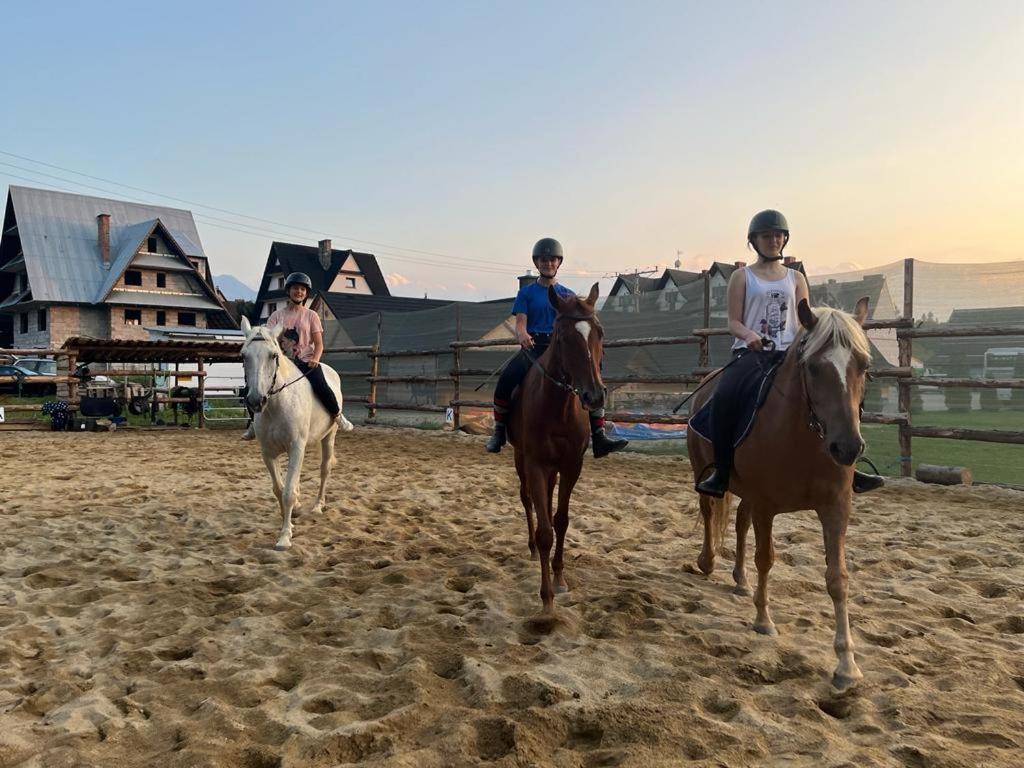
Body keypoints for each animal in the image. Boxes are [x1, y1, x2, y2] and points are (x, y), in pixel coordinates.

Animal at [240, 315, 356, 548]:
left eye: (273, 355)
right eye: (243, 356)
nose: (256, 400)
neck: (277, 404)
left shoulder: (296, 448)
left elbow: (288, 492)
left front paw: (285, 536)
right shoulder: (268, 453)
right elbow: (279, 489)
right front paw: (292, 516)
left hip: (329, 436)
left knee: (325, 468)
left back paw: (318, 506)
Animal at [505, 286, 602, 618]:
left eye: (599, 333)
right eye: (563, 338)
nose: (594, 396)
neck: (558, 408)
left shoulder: (572, 466)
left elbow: (560, 520)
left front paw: (559, 579)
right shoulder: (535, 464)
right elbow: (545, 531)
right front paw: (546, 601)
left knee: (545, 501)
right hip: (521, 459)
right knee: (528, 501)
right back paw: (533, 550)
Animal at [688, 296, 872, 688]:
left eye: (863, 366)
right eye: (814, 368)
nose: (848, 447)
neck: (802, 437)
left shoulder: (836, 507)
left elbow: (838, 578)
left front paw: (846, 664)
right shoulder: (766, 505)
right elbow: (766, 559)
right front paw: (763, 620)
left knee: (738, 523)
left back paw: (741, 582)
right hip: (703, 472)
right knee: (710, 511)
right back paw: (707, 561)